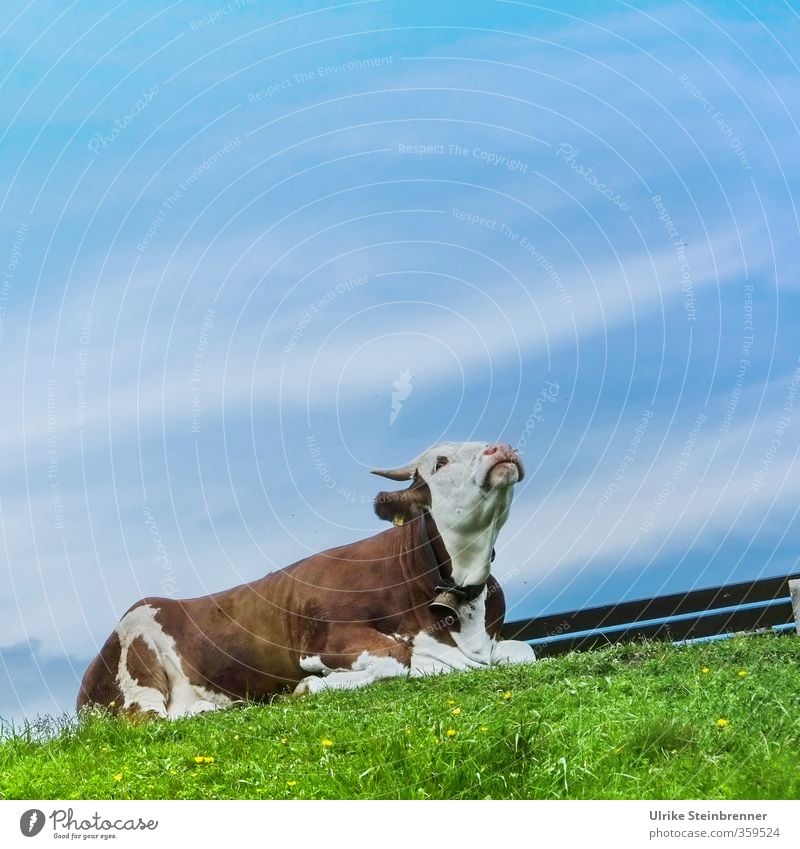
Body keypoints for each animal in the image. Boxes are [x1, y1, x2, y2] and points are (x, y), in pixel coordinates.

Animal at [78, 440, 536, 720]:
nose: (502, 447)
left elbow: (524, 651)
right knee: (145, 716)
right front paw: (312, 686)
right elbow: (399, 659)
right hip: (138, 648)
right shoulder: (325, 639)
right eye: (439, 462)